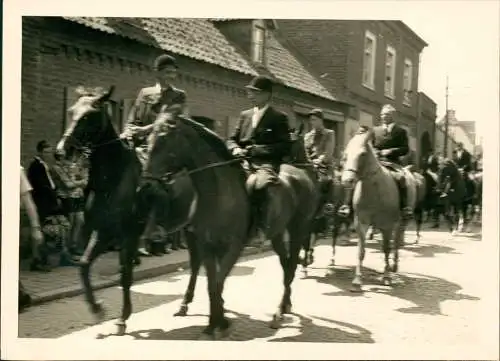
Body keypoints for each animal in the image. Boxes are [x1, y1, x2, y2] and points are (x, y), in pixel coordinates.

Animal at [340, 128, 418, 292]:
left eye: (363, 154)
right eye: (346, 154)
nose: (347, 181)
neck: (374, 188)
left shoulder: (387, 225)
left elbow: (386, 249)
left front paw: (386, 277)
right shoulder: (361, 222)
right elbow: (361, 250)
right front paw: (357, 280)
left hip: (401, 222)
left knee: (396, 242)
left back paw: (394, 266)